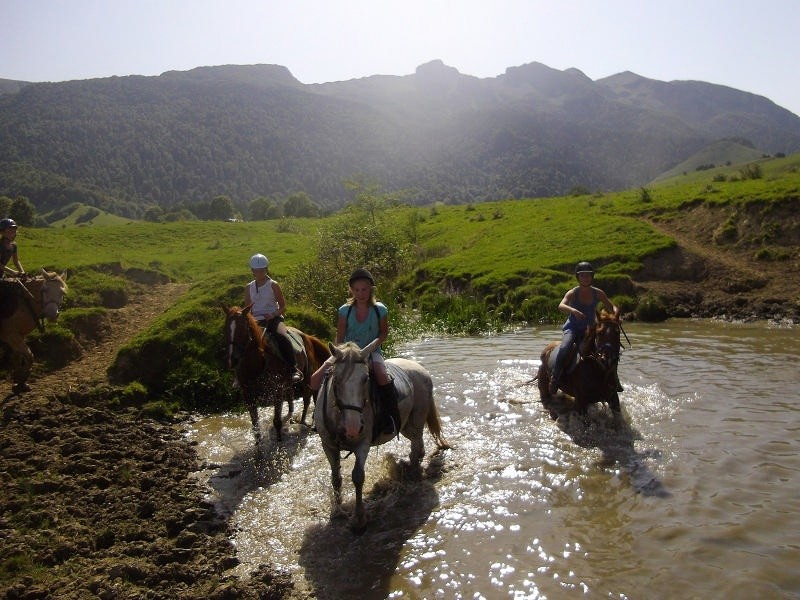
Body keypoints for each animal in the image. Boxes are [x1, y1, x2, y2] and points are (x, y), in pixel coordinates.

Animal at [220, 304, 330, 440]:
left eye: (242, 328)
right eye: (225, 328)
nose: (232, 359)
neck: (257, 363)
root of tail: (306, 335)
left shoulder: (276, 391)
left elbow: (277, 422)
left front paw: (279, 444)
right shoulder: (248, 396)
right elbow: (256, 428)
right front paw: (259, 445)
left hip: (308, 378)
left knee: (307, 399)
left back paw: (304, 422)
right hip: (288, 383)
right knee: (291, 397)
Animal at [312, 340, 450, 532]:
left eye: (365, 379)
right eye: (337, 380)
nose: (353, 427)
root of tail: (419, 368)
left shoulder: (362, 445)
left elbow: (358, 477)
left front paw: (359, 519)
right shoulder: (328, 445)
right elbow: (336, 478)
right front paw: (338, 512)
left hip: (415, 421)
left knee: (416, 446)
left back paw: (412, 476)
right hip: (405, 426)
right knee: (417, 446)